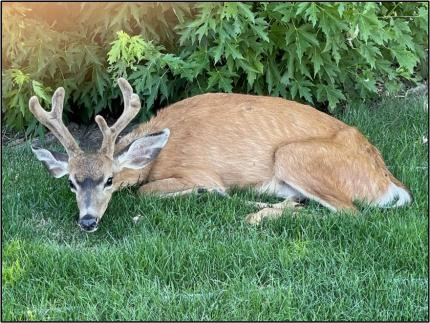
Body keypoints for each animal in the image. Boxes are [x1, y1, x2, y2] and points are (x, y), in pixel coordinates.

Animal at [28, 77, 412, 232]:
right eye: (72, 183)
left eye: (109, 180)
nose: (87, 221)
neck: (159, 153)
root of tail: (389, 180)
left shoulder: (198, 170)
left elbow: (145, 191)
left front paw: (201, 192)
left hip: (295, 155)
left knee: (350, 214)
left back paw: (256, 216)